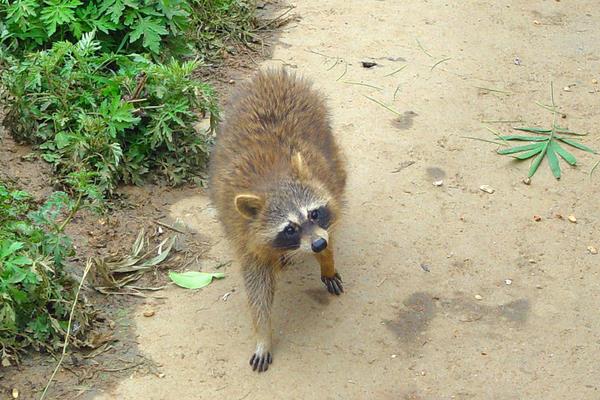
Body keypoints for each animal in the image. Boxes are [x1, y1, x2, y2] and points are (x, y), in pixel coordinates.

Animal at [209, 68, 346, 372]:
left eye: (313, 213)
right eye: (290, 229)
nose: (318, 245)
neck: (273, 183)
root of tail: (271, 75)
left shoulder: (328, 188)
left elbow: (331, 227)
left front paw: (327, 260)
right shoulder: (244, 233)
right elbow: (257, 286)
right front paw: (263, 334)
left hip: (332, 150)